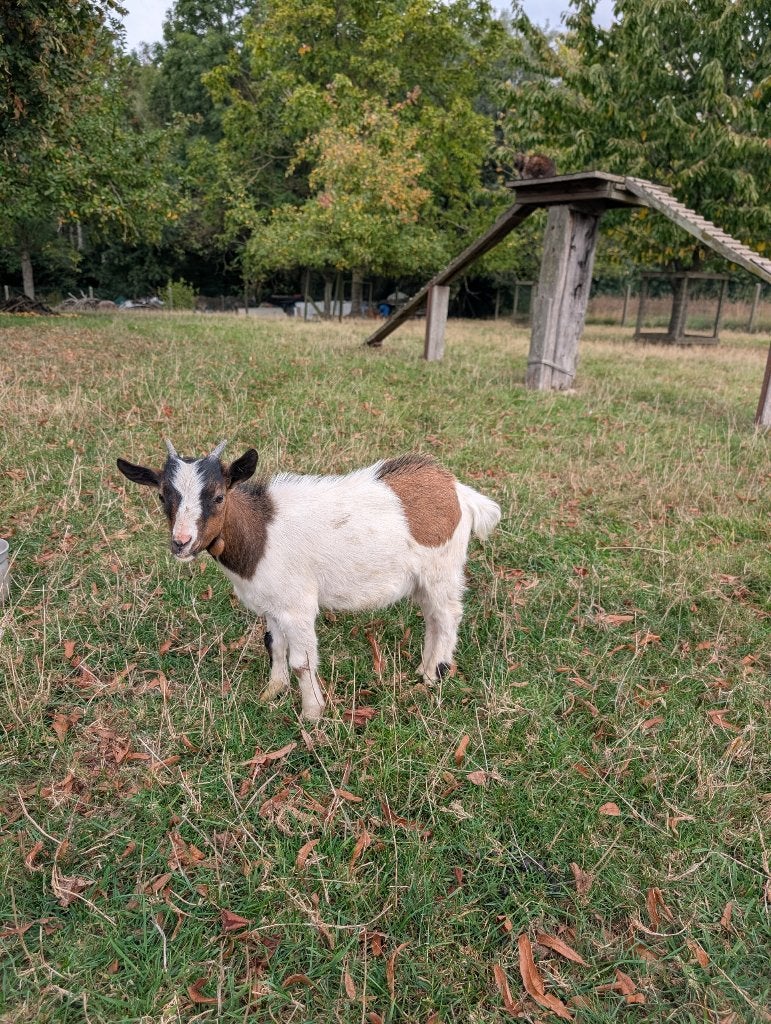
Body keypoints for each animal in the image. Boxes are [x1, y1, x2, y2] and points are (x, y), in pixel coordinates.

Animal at [116, 440, 501, 721]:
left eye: (218, 495)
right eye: (162, 496)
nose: (181, 543)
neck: (261, 533)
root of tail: (458, 491)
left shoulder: (297, 605)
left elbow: (301, 662)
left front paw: (312, 714)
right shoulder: (272, 603)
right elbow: (274, 645)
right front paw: (272, 692)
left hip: (442, 568)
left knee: (448, 614)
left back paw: (435, 674)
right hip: (422, 578)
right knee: (432, 617)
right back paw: (424, 667)